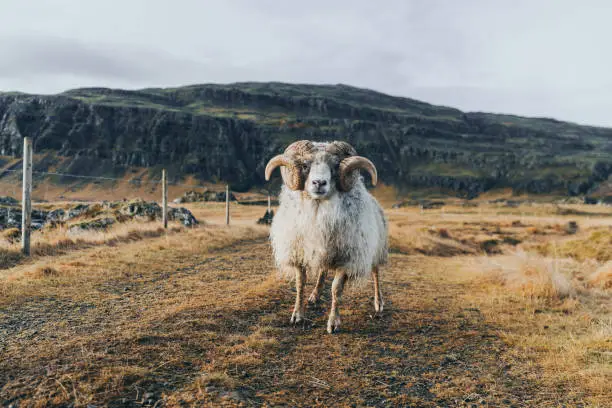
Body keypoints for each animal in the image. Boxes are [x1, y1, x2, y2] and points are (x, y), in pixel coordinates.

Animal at [262, 139, 388, 332]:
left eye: (335, 166)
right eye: (305, 165)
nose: (319, 182)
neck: (318, 211)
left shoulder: (347, 258)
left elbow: (336, 289)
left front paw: (333, 322)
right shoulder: (298, 253)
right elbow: (300, 284)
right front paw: (297, 314)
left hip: (375, 247)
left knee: (375, 273)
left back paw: (378, 303)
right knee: (322, 270)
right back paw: (315, 295)